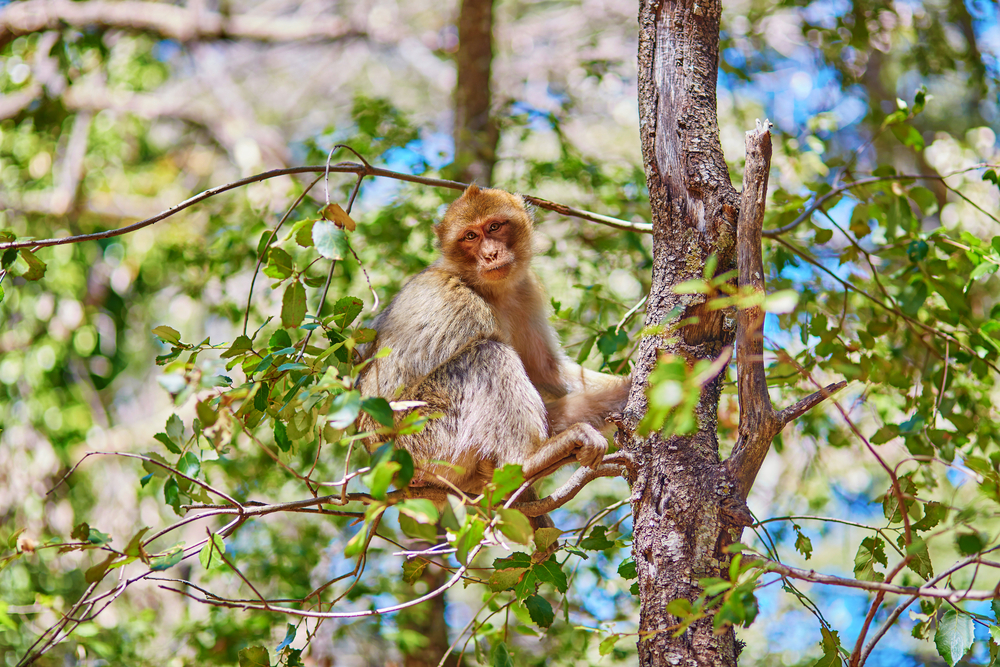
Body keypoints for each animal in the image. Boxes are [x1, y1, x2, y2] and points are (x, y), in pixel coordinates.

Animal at [356, 185, 628, 508]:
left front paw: (637, 383)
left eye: (495, 227)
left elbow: (547, 372)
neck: (486, 289)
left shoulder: (525, 290)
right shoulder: (462, 305)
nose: (490, 254)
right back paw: (527, 461)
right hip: (422, 440)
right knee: (486, 354)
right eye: (470, 236)